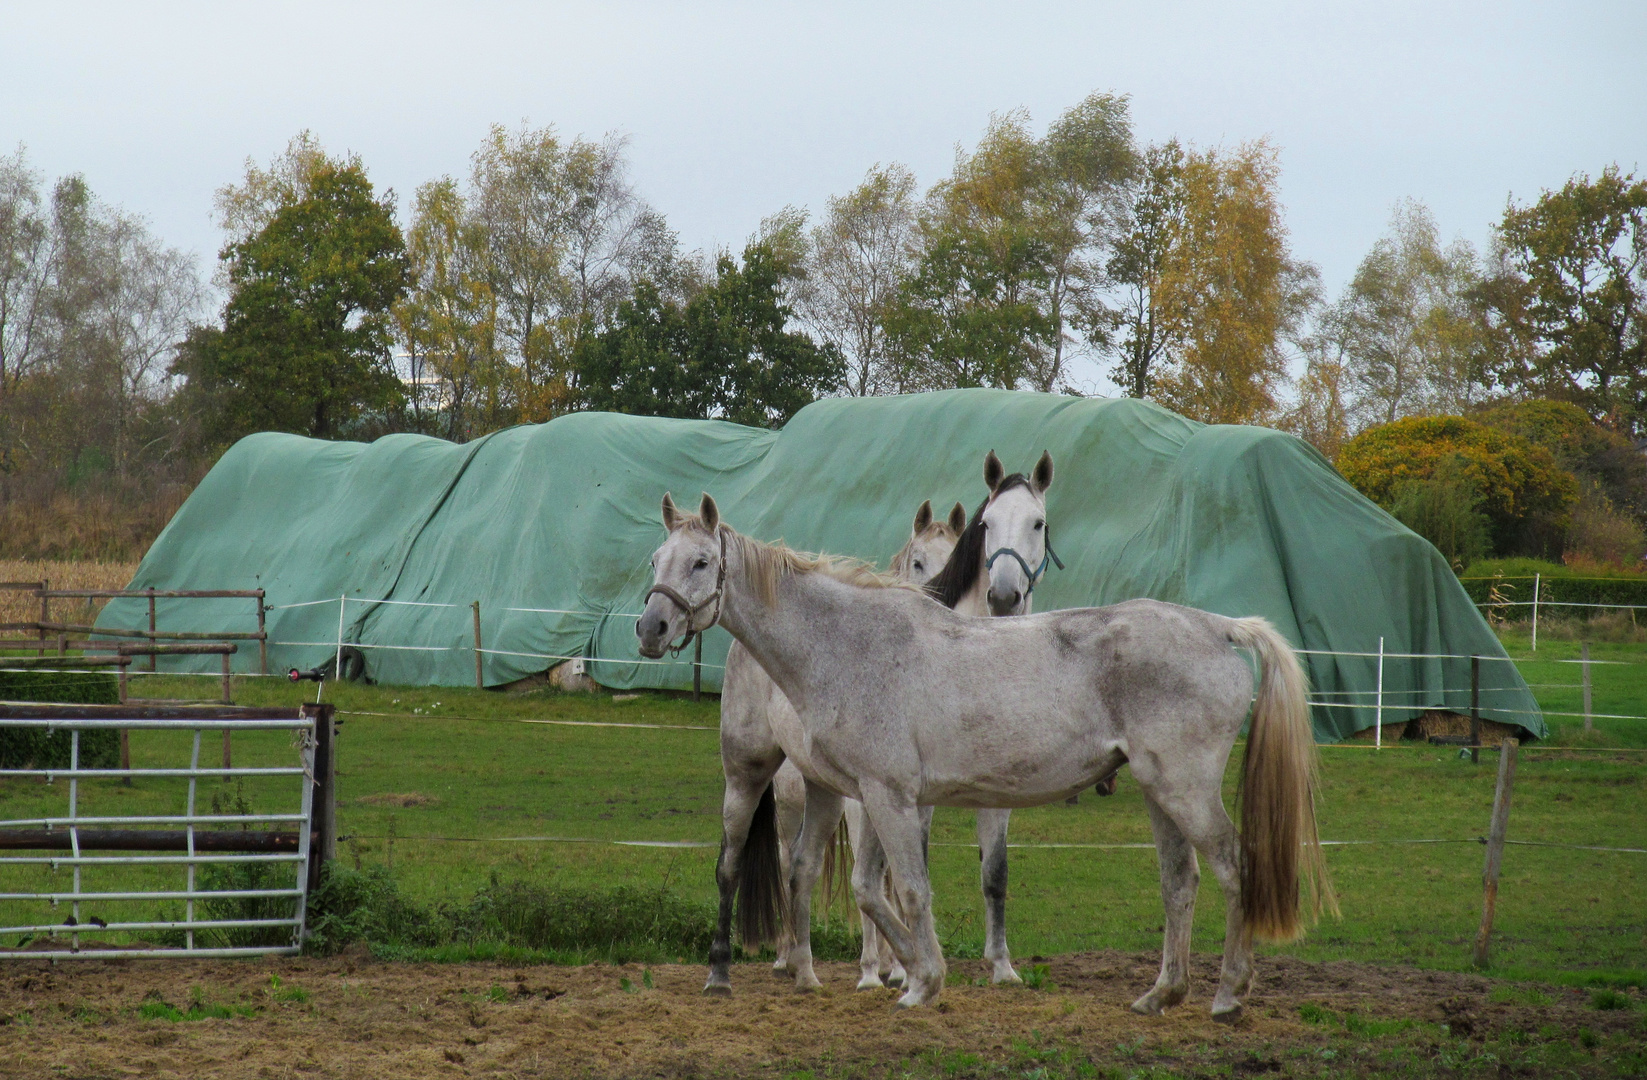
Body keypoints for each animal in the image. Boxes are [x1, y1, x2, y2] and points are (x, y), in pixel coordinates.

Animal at [635, 493, 1330, 1014]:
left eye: (701, 562)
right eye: (657, 559)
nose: (650, 628)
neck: (850, 643)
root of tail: (1219, 628)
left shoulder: (889, 796)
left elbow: (908, 889)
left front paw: (922, 982)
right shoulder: (874, 796)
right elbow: (871, 889)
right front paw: (911, 969)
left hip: (1185, 790)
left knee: (1234, 867)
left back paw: (1228, 995)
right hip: (1159, 792)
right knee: (1179, 884)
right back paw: (1162, 994)